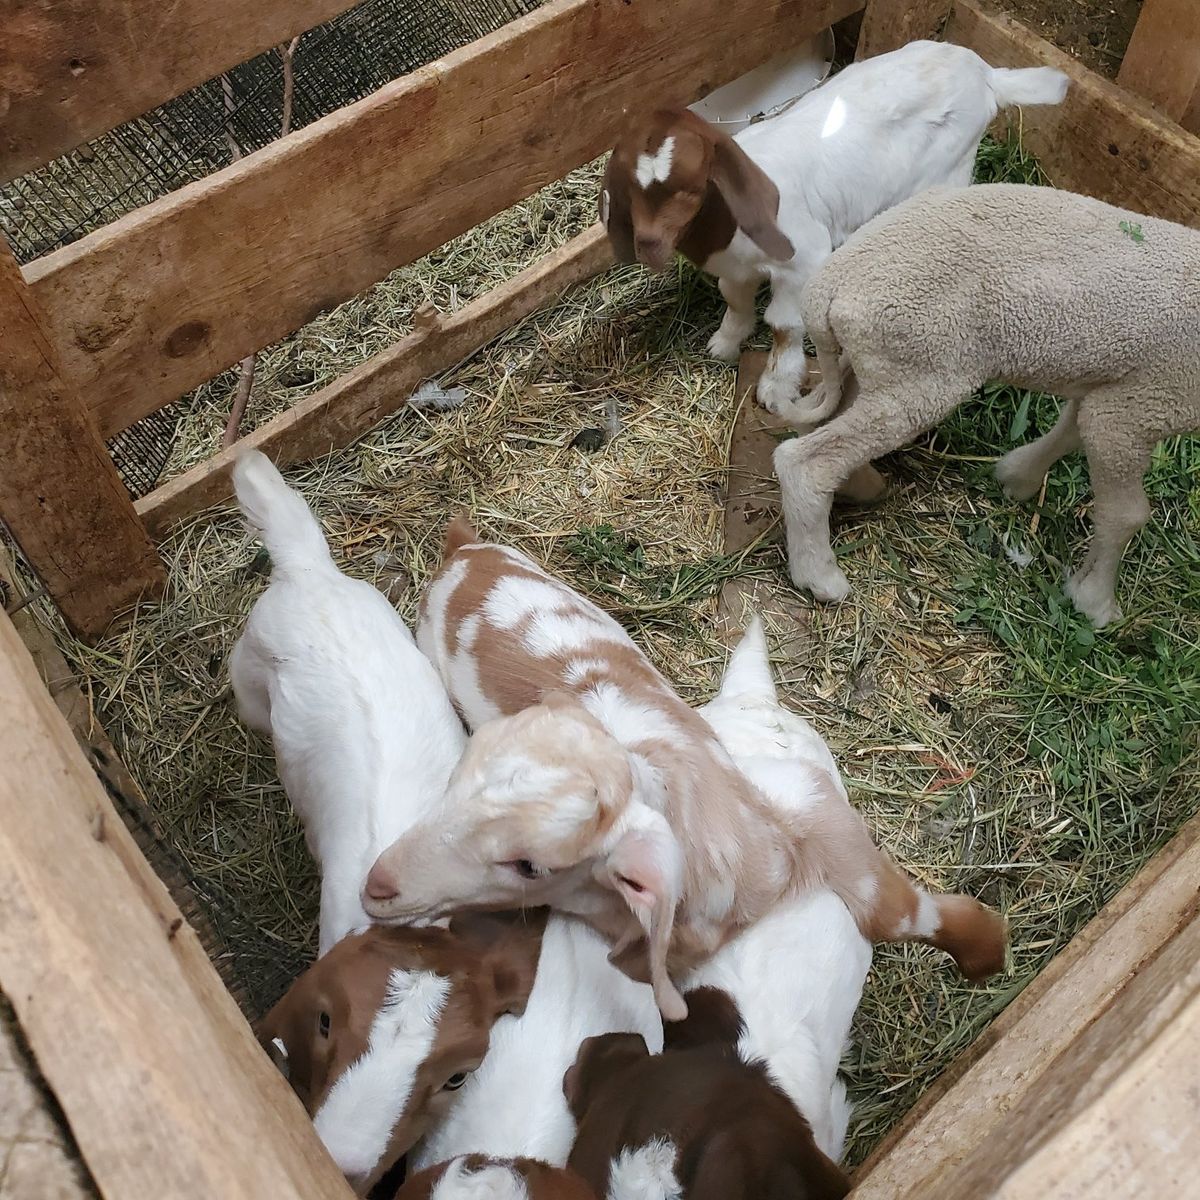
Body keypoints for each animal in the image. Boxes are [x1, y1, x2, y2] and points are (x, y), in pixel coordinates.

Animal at [363, 523, 1006, 1021]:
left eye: (529, 866)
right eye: (451, 785)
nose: (377, 887)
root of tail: (462, 555)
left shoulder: (820, 822)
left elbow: (902, 913)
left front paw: (989, 958)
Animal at [601, 40, 1066, 420]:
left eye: (692, 186)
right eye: (629, 186)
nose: (649, 245)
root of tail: (986, 73)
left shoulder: (804, 259)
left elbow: (783, 326)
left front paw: (776, 387)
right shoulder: (736, 269)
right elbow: (734, 300)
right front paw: (725, 343)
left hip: (949, 169)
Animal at [776, 182, 1200, 627]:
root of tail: (828, 286)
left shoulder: (1111, 389)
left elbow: (1068, 432)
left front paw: (1018, 478)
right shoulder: (1139, 409)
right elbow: (1127, 514)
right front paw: (1096, 602)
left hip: (882, 362)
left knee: (822, 420)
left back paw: (862, 487)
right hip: (920, 372)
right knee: (806, 463)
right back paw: (819, 576)